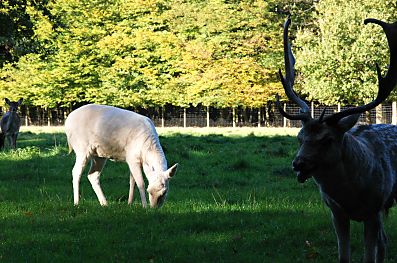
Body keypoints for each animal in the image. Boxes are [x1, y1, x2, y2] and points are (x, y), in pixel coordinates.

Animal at [276, 17, 396, 262]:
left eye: (327, 139)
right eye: (299, 138)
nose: (298, 164)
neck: (351, 197)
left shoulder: (373, 210)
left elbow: (368, 256)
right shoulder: (336, 212)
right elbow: (344, 256)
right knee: (384, 242)